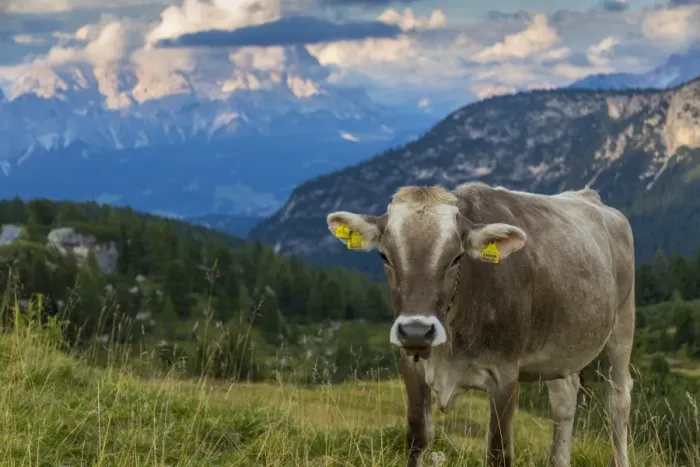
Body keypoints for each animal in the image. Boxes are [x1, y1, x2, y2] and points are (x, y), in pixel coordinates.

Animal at [326, 182, 634, 467]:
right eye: (384, 256)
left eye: (456, 257)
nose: (416, 331)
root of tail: (589, 195)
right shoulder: (411, 365)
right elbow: (417, 437)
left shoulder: (504, 374)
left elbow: (498, 451)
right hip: (560, 350)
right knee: (564, 399)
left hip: (622, 324)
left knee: (617, 401)